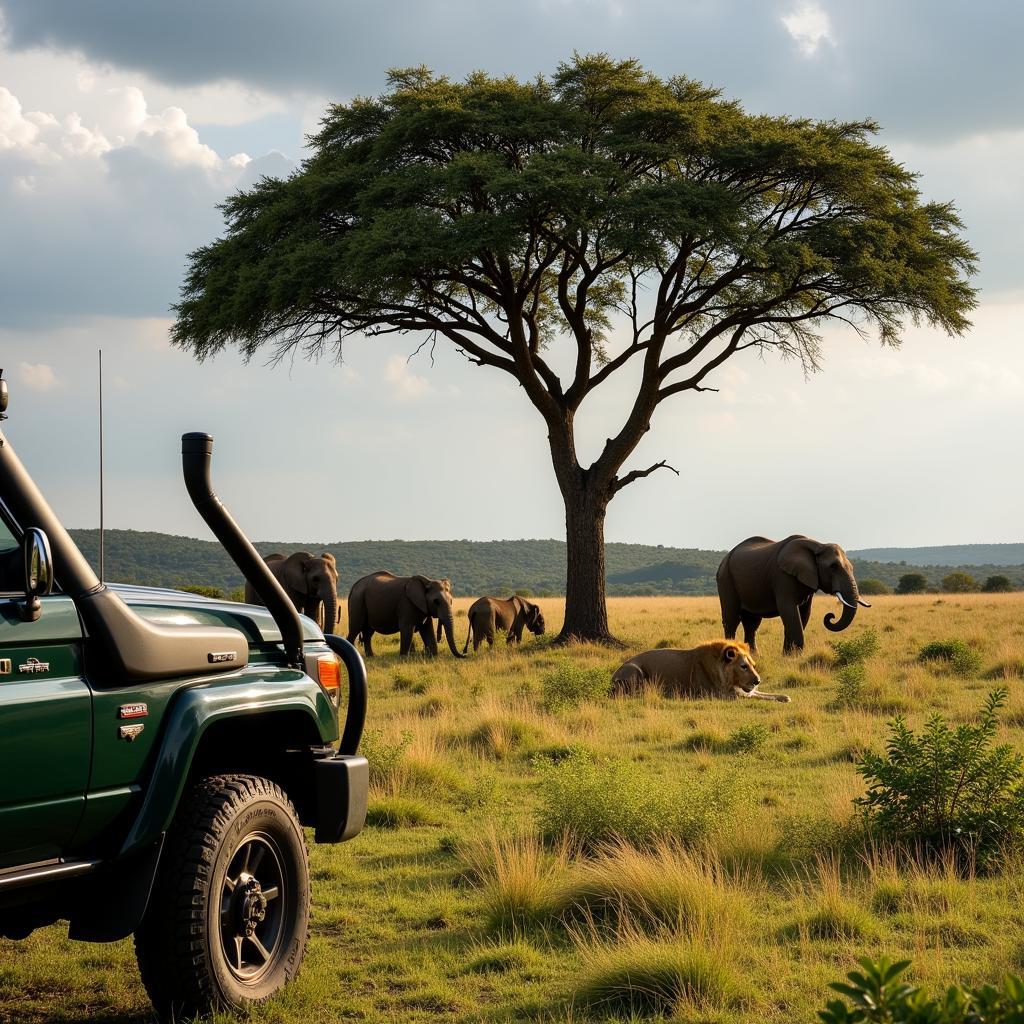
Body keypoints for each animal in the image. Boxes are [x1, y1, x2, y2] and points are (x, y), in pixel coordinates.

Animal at [606, 638, 790, 704]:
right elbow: (747, 696)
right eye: (743, 666)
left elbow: (764, 694)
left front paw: (784, 697)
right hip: (635, 670)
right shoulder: (715, 694)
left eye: (753, 665)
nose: (758, 681)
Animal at [712, 536, 872, 655]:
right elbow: (789, 611)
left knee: (752, 623)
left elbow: (803, 613)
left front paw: (788, 655)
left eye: (852, 567)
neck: (817, 546)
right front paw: (794, 656)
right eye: (833, 567)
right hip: (726, 578)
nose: (830, 616)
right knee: (732, 619)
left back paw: (753, 655)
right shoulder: (783, 577)